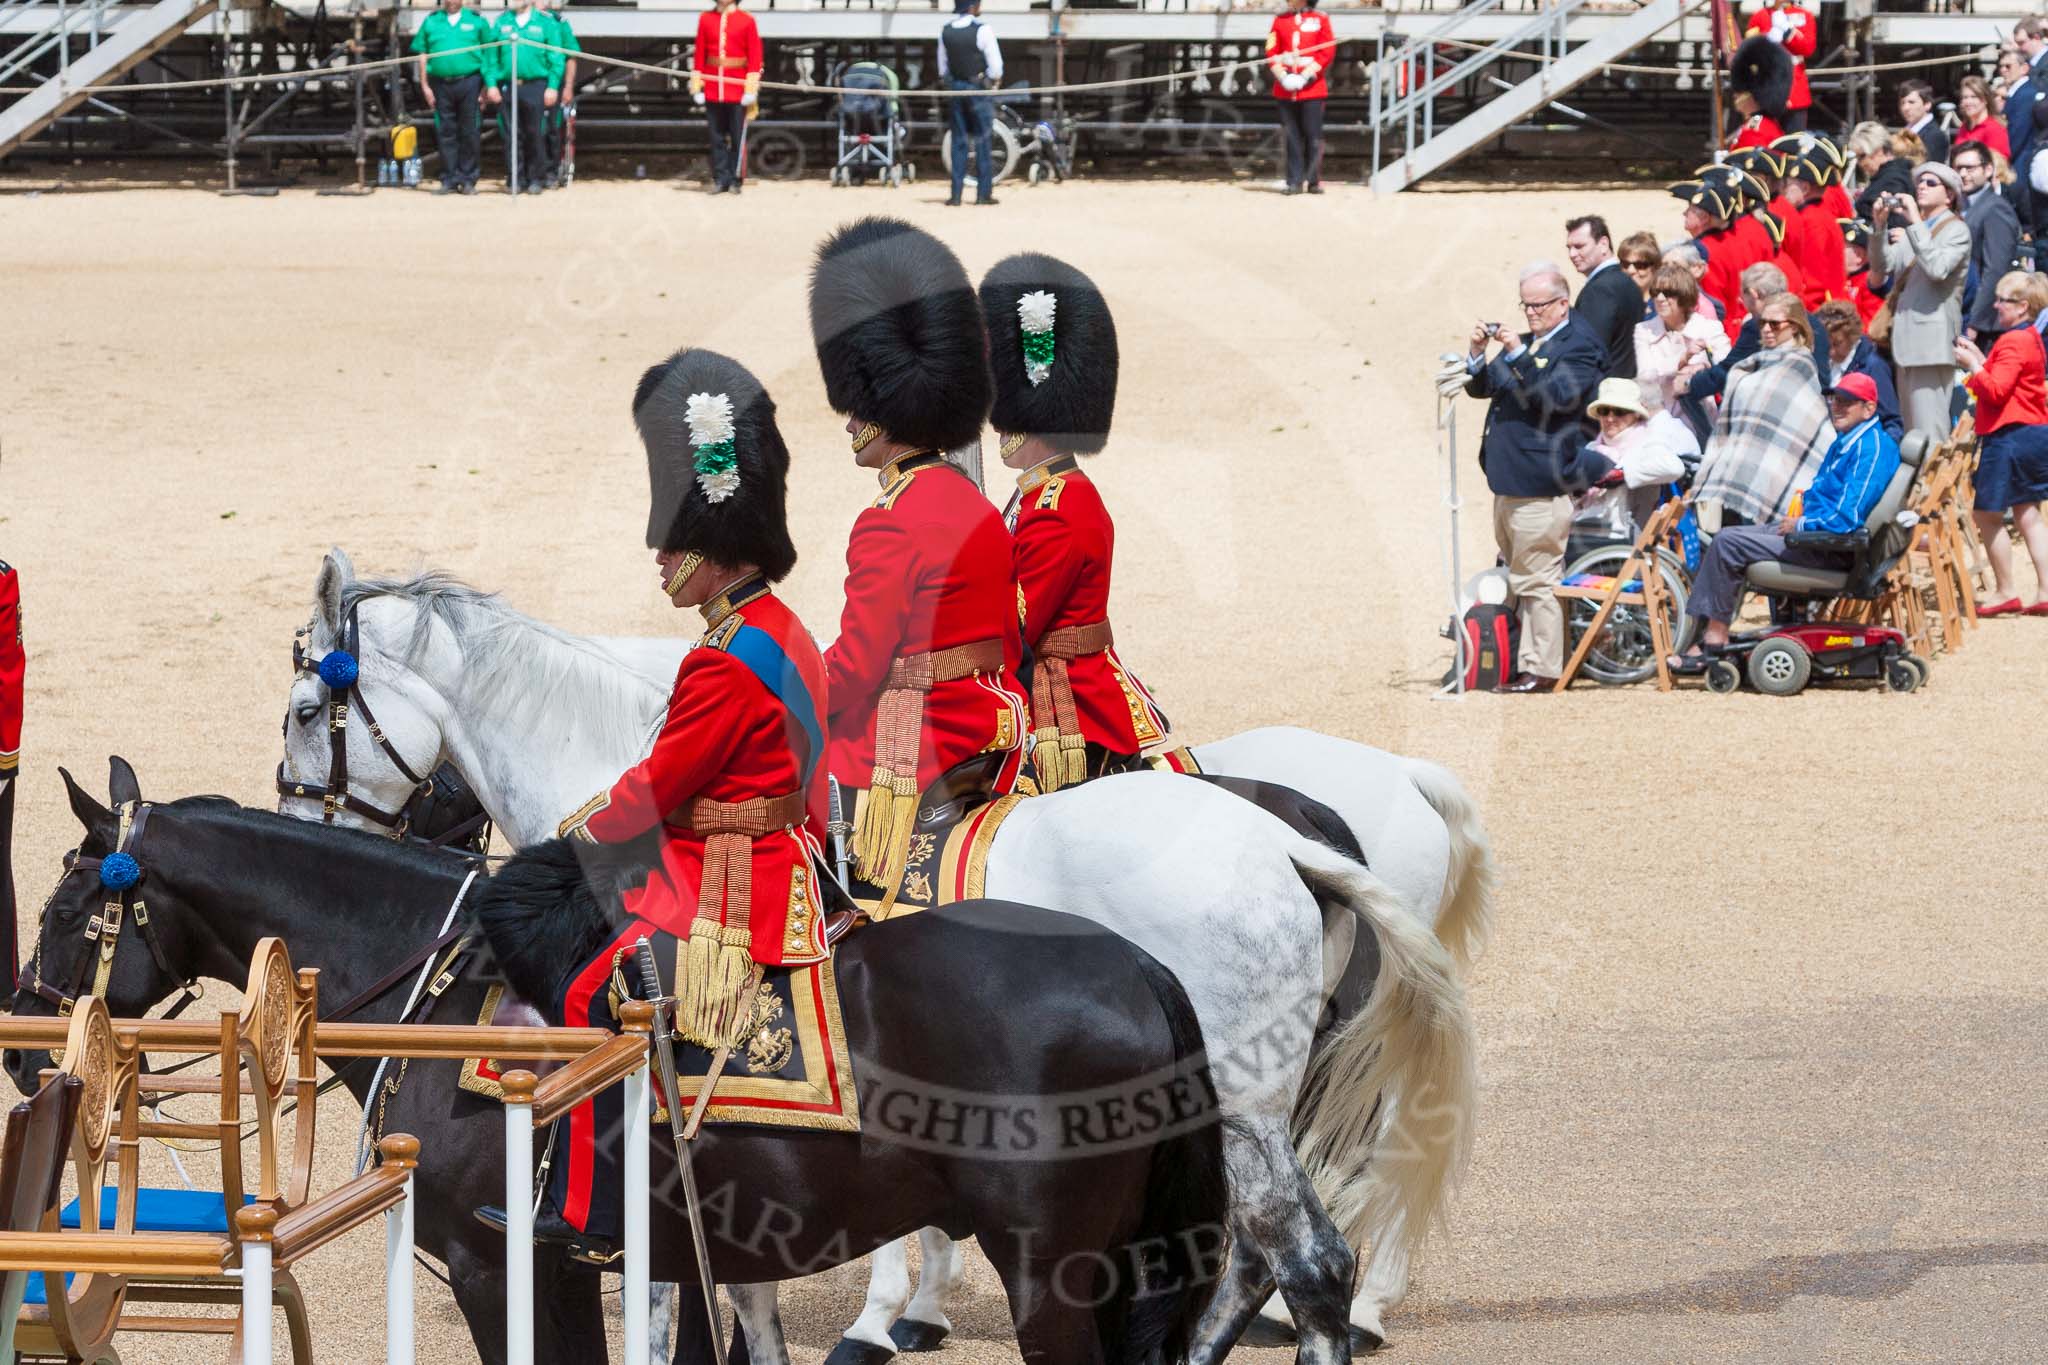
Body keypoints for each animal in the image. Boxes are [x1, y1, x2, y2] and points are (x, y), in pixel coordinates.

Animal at [8, 765, 1220, 1358]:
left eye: (67, 906)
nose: (27, 1043)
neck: (429, 992)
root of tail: (1140, 967)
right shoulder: (577, 1268)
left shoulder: (496, 1265)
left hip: (1052, 1276)